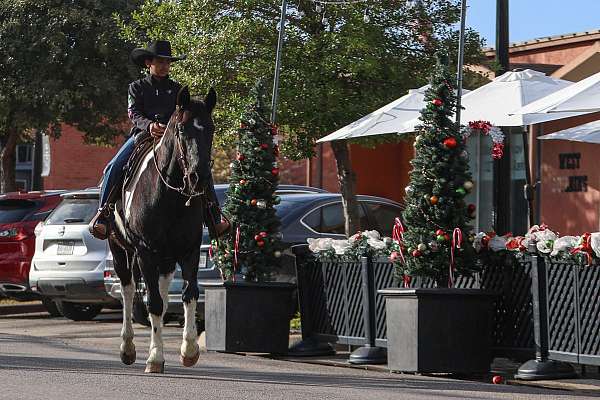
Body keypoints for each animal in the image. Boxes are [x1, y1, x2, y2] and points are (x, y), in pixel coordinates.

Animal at [109, 86, 217, 374]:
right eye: (181, 129)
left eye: (211, 128)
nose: (199, 177)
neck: (170, 197)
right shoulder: (145, 252)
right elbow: (153, 303)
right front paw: (155, 357)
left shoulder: (189, 250)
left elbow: (189, 294)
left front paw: (189, 350)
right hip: (120, 250)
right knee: (128, 291)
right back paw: (128, 348)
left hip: (167, 259)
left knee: (164, 293)